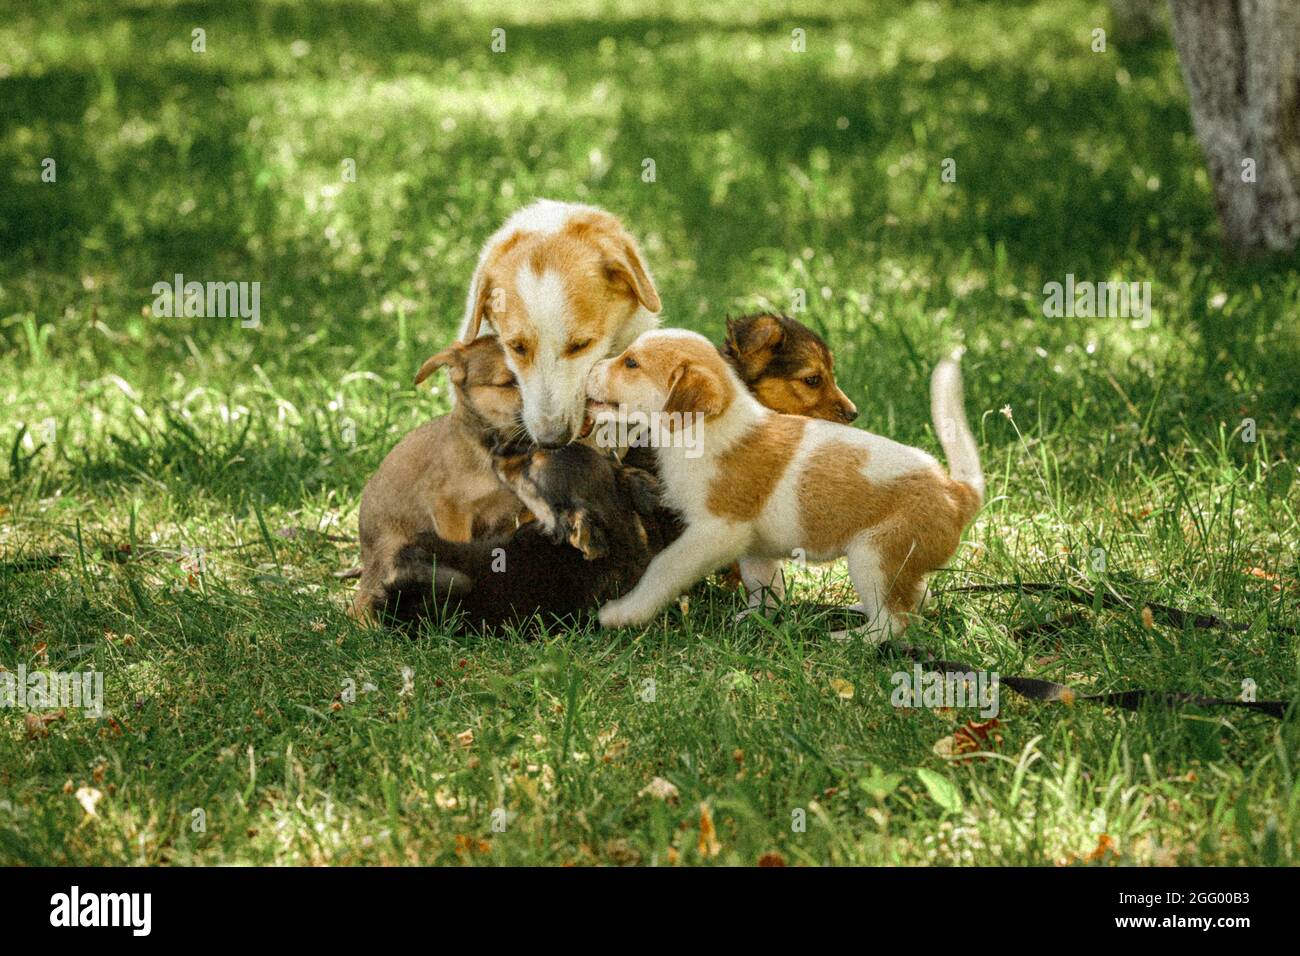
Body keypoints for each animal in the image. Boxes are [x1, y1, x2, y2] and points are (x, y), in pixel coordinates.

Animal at [585, 330, 977, 642]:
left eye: (631, 363)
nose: (588, 368)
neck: (704, 429)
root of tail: (956, 491)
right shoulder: (753, 547)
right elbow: (765, 586)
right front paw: (757, 619)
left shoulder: (715, 532)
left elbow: (663, 568)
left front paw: (624, 612)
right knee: (916, 599)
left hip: (875, 557)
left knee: (895, 621)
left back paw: (849, 639)